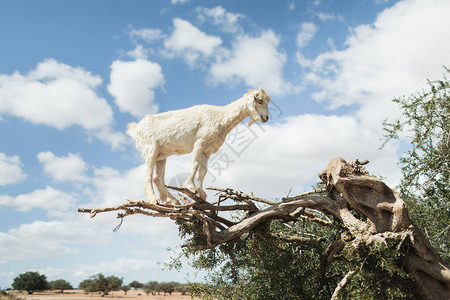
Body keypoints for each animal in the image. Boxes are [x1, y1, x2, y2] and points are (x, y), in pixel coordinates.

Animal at [126, 88, 268, 205]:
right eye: (260, 100)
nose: (266, 118)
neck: (221, 116)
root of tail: (135, 129)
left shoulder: (207, 149)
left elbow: (203, 170)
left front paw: (201, 192)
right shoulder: (200, 141)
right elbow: (194, 164)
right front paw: (191, 187)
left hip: (162, 155)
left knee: (158, 178)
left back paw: (173, 200)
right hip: (151, 148)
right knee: (148, 175)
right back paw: (153, 199)